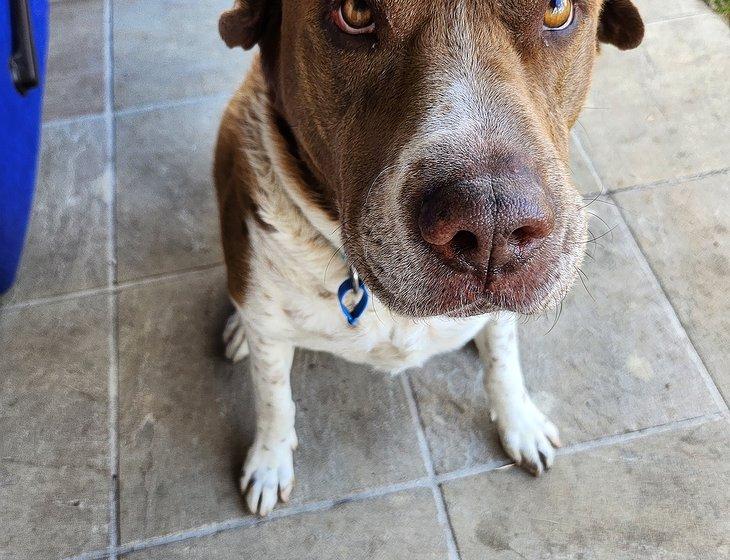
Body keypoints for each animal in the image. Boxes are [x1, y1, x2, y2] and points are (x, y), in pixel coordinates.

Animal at [212, 0, 644, 516]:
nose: (492, 220)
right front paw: (269, 461)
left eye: (557, 10)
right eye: (354, 12)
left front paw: (519, 421)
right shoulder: (270, 330)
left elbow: (504, 361)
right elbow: (274, 398)